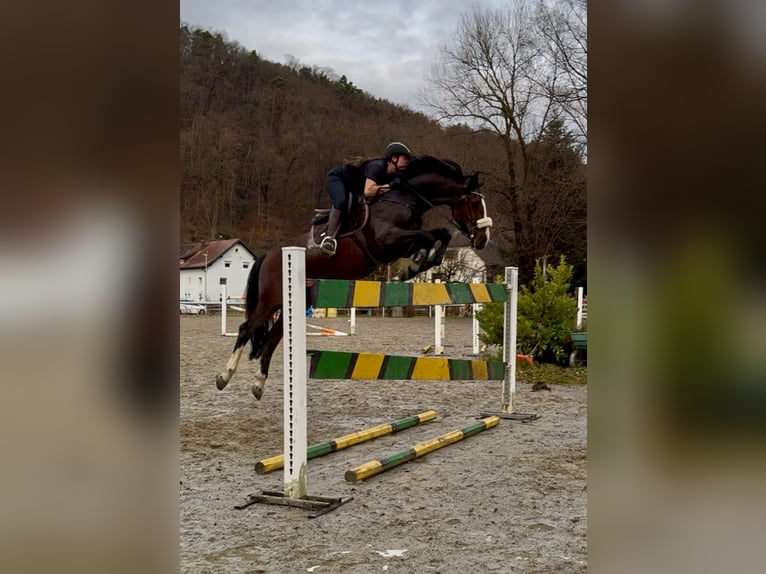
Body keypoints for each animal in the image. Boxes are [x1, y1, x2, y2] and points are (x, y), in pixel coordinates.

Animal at [215, 155, 493, 400]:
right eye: (474, 204)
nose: (483, 240)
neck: (404, 200)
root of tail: (269, 255)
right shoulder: (388, 241)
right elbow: (430, 235)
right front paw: (415, 267)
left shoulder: (401, 244)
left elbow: (438, 235)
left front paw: (418, 265)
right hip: (271, 299)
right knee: (246, 328)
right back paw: (224, 376)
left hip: (297, 301)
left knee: (272, 339)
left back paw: (258, 385)